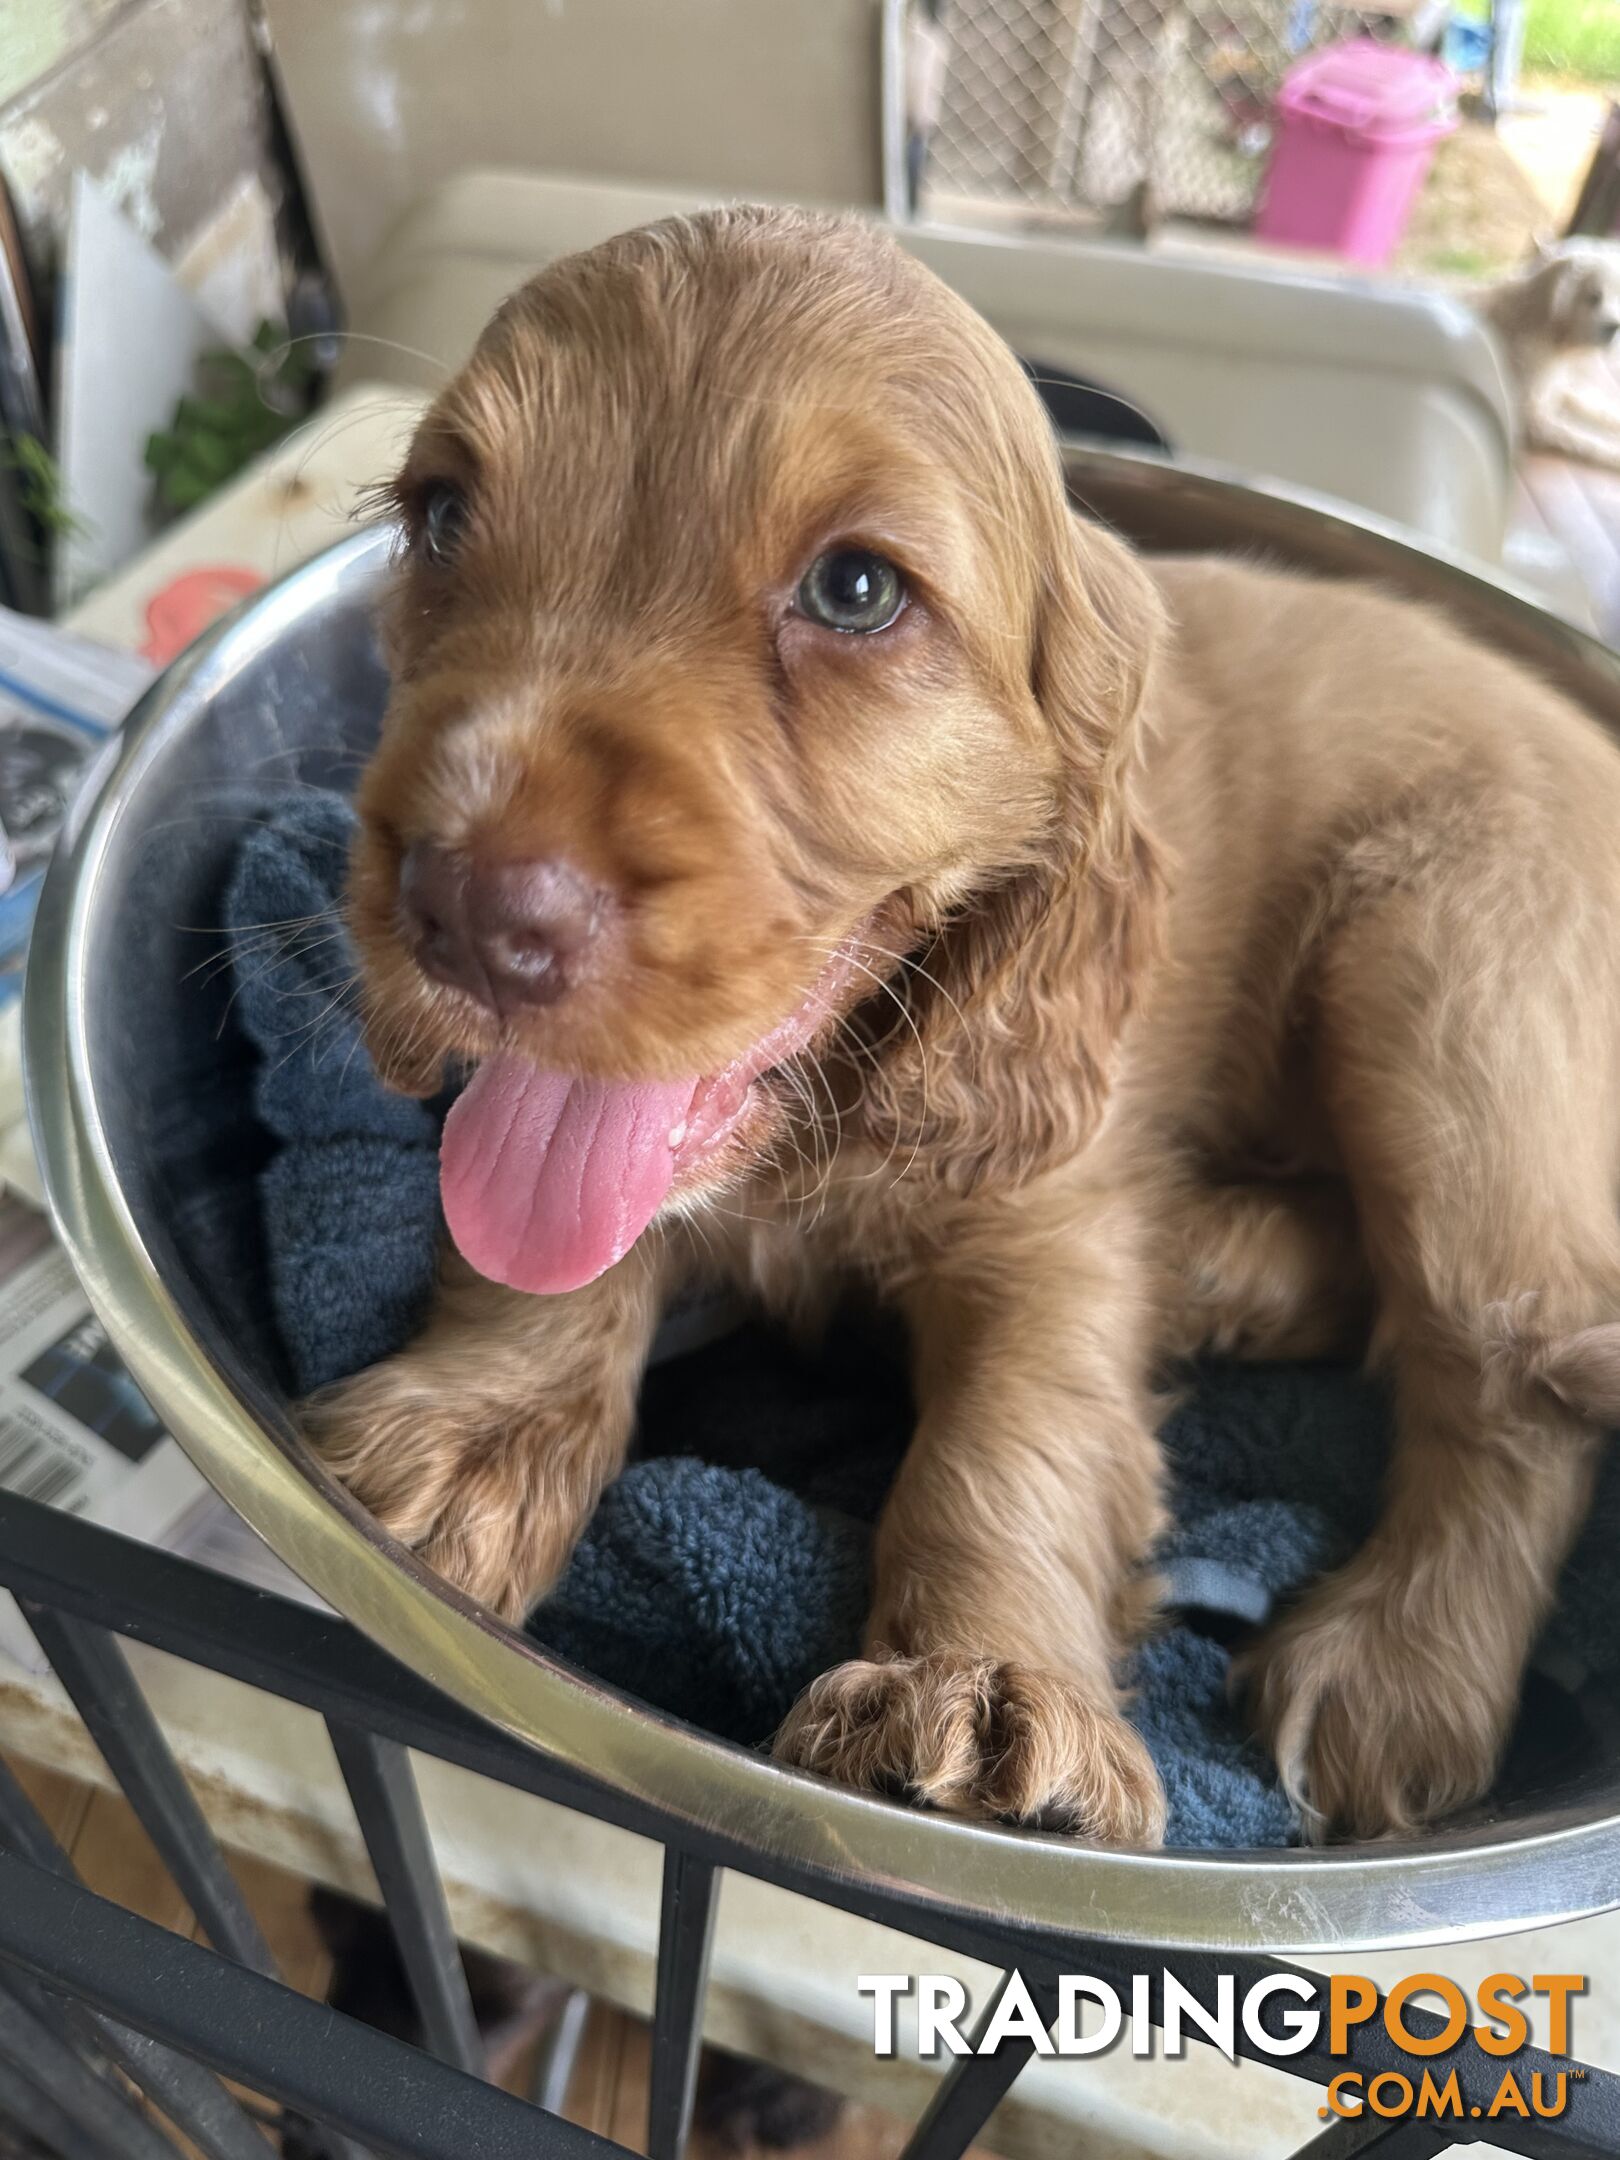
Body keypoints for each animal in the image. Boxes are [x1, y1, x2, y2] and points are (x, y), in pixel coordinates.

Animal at [311, 210, 1620, 1848]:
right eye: (440, 516)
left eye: (858, 592)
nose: (467, 908)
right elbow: (551, 1245)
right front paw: (468, 1436)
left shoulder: (1050, 1218)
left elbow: (1012, 1444)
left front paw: (985, 1691)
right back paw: (1225, 1267)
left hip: (1443, 974)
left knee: (1510, 1362)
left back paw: (1398, 1663)